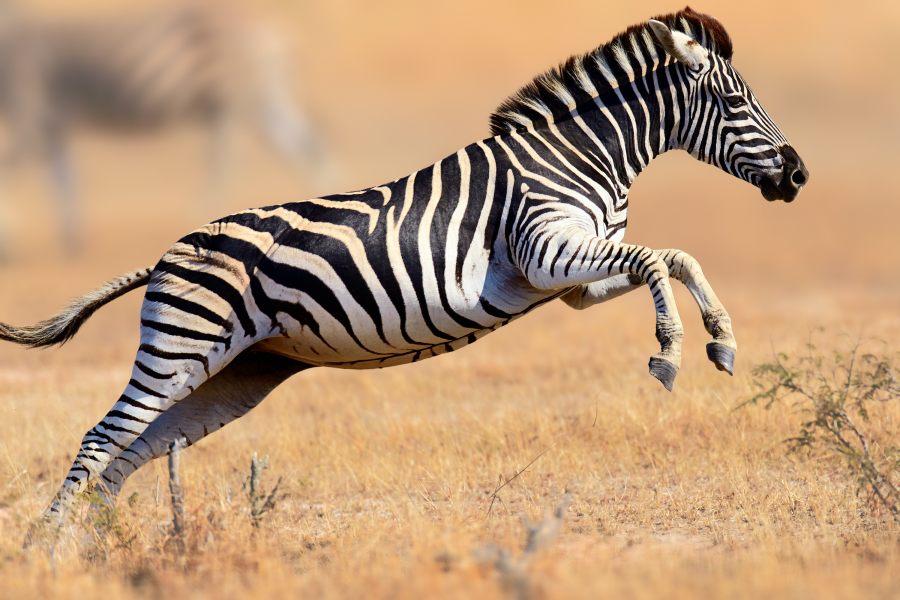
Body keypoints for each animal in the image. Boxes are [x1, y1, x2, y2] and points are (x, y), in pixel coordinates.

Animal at [0, 1, 328, 252]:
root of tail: (271, 32)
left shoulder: (31, 113)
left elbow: (12, 170)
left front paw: (9, 242)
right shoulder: (51, 125)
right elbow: (63, 180)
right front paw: (73, 240)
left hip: (239, 101)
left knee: (226, 162)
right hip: (261, 99)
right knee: (307, 145)